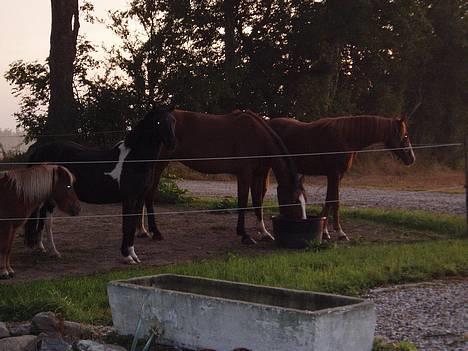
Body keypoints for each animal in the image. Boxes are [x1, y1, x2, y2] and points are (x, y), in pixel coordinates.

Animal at [24, 107, 177, 264]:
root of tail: (39, 152)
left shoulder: (139, 198)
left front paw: (134, 256)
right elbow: (126, 226)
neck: (134, 160)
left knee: (42, 217)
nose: (172, 143)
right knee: (48, 221)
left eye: (173, 121)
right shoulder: (128, 199)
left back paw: (41, 248)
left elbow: (132, 226)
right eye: (158, 122)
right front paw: (127, 256)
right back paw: (54, 252)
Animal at [139, 109, 308, 245]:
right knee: (148, 195)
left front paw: (264, 233)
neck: (257, 136)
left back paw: (143, 231)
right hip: (158, 166)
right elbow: (243, 202)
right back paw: (155, 232)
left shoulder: (258, 175)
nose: (302, 225)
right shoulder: (244, 174)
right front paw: (244, 235)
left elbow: (257, 202)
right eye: (294, 201)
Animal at [266, 115, 414, 242]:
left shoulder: (337, 175)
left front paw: (325, 232)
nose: (411, 158)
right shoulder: (334, 174)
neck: (346, 137)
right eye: (405, 136)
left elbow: (329, 200)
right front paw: (339, 233)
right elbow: (335, 202)